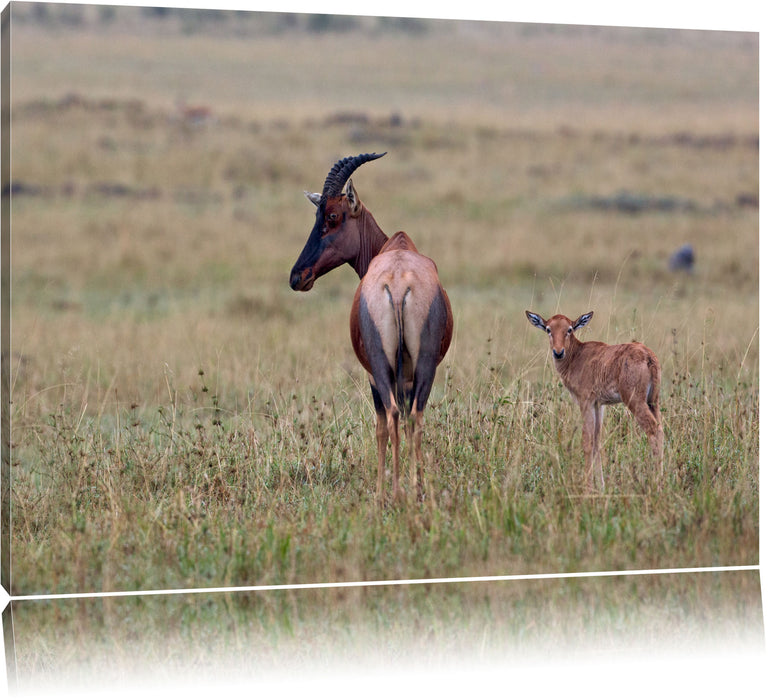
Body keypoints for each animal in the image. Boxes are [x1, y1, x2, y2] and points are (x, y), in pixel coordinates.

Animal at [290, 153, 454, 504]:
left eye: (333, 215)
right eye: (316, 214)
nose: (297, 276)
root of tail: (398, 280)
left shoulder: (372, 375)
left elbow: (379, 426)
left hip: (381, 365)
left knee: (391, 416)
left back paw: (392, 492)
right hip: (425, 365)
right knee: (414, 417)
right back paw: (413, 489)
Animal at [524, 308, 664, 490]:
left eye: (569, 329)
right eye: (548, 329)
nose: (558, 352)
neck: (578, 355)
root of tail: (648, 356)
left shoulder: (586, 402)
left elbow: (587, 441)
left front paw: (588, 486)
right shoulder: (599, 405)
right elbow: (597, 441)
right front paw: (601, 486)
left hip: (635, 401)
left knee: (653, 429)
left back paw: (657, 483)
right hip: (653, 401)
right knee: (661, 429)